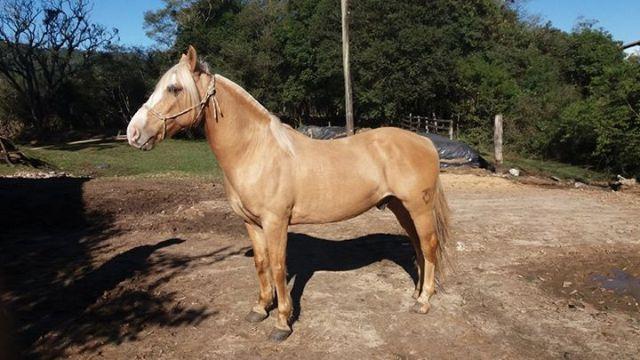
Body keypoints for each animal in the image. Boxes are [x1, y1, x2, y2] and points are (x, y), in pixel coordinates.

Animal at [127, 45, 452, 340]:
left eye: (174, 88)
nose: (133, 133)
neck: (255, 151)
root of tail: (425, 141)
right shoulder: (252, 223)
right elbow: (261, 264)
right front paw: (260, 308)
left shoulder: (276, 222)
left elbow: (278, 265)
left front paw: (282, 322)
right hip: (400, 207)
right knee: (418, 247)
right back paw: (416, 293)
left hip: (418, 207)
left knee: (428, 246)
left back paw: (424, 302)